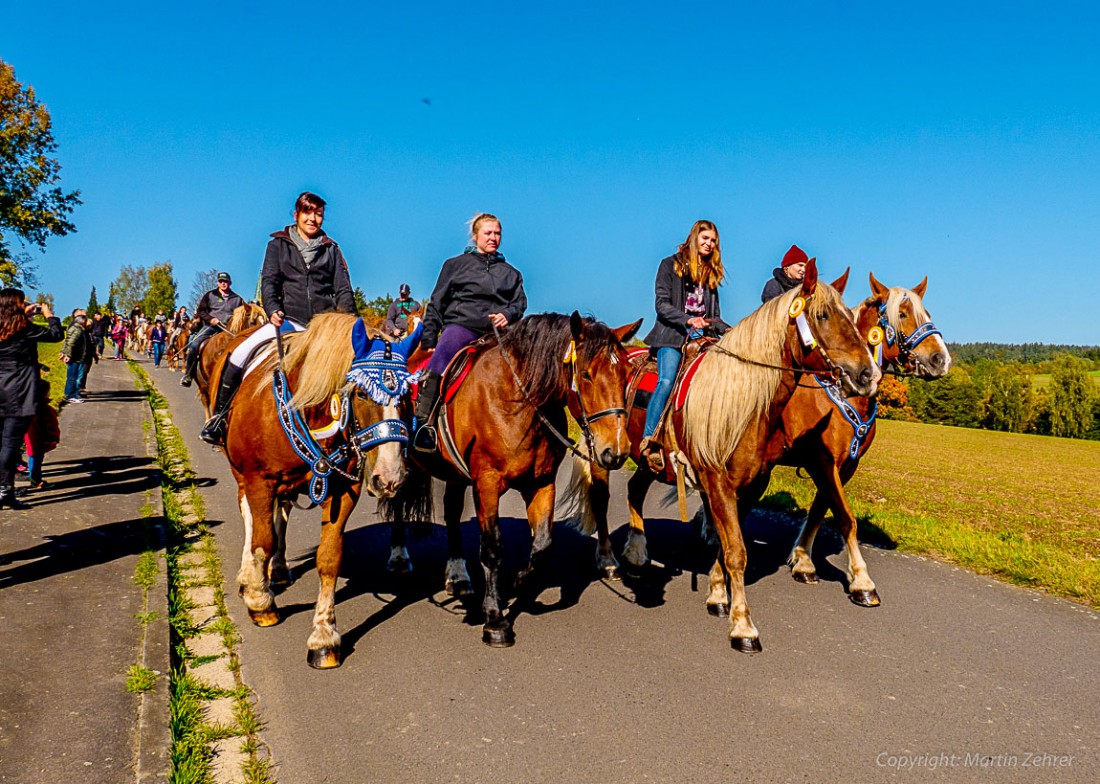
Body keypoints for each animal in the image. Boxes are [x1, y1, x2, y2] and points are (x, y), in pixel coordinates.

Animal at [216, 312, 418, 668]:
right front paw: (260, 600)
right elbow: (262, 540)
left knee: (281, 513)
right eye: (362, 394)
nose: (390, 478)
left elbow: (329, 557)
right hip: (242, 474)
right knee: (250, 517)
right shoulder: (258, 480)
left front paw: (324, 636)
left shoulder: (341, 488)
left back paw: (277, 570)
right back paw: (251, 577)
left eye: (407, 397)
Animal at [387, 312, 642, 646]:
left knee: (452, 512)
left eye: (626, 374)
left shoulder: (541, 483)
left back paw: (457, 575)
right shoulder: (487, 484)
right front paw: (495, 620)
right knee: (397, 501)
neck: (517, 402)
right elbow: (492, 548)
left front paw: (518, 582)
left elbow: (543, 545)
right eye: (586, 375)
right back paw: (399, 556)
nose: (616, 450)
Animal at [567, 259, 875, 650]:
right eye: (822, 315)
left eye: (851, 316)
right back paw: (608, 561)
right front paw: (743, 625)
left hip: (650, 460)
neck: (743, 402)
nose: (867, 374)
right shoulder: (717, 480)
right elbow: (736, 551)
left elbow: (729, 544)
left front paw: (717, 595)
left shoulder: (753, 483)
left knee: (635, 490)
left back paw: (637, 552)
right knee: (602, 496)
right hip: (603, 448)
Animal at [783, 274, 954, 606]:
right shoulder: (822, 462)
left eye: (926, 314)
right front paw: (861, 581)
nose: (941, 359)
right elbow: (845, 518)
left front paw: (803, 562)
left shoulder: (845, 466)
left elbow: (820, 510)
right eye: (902, 315)